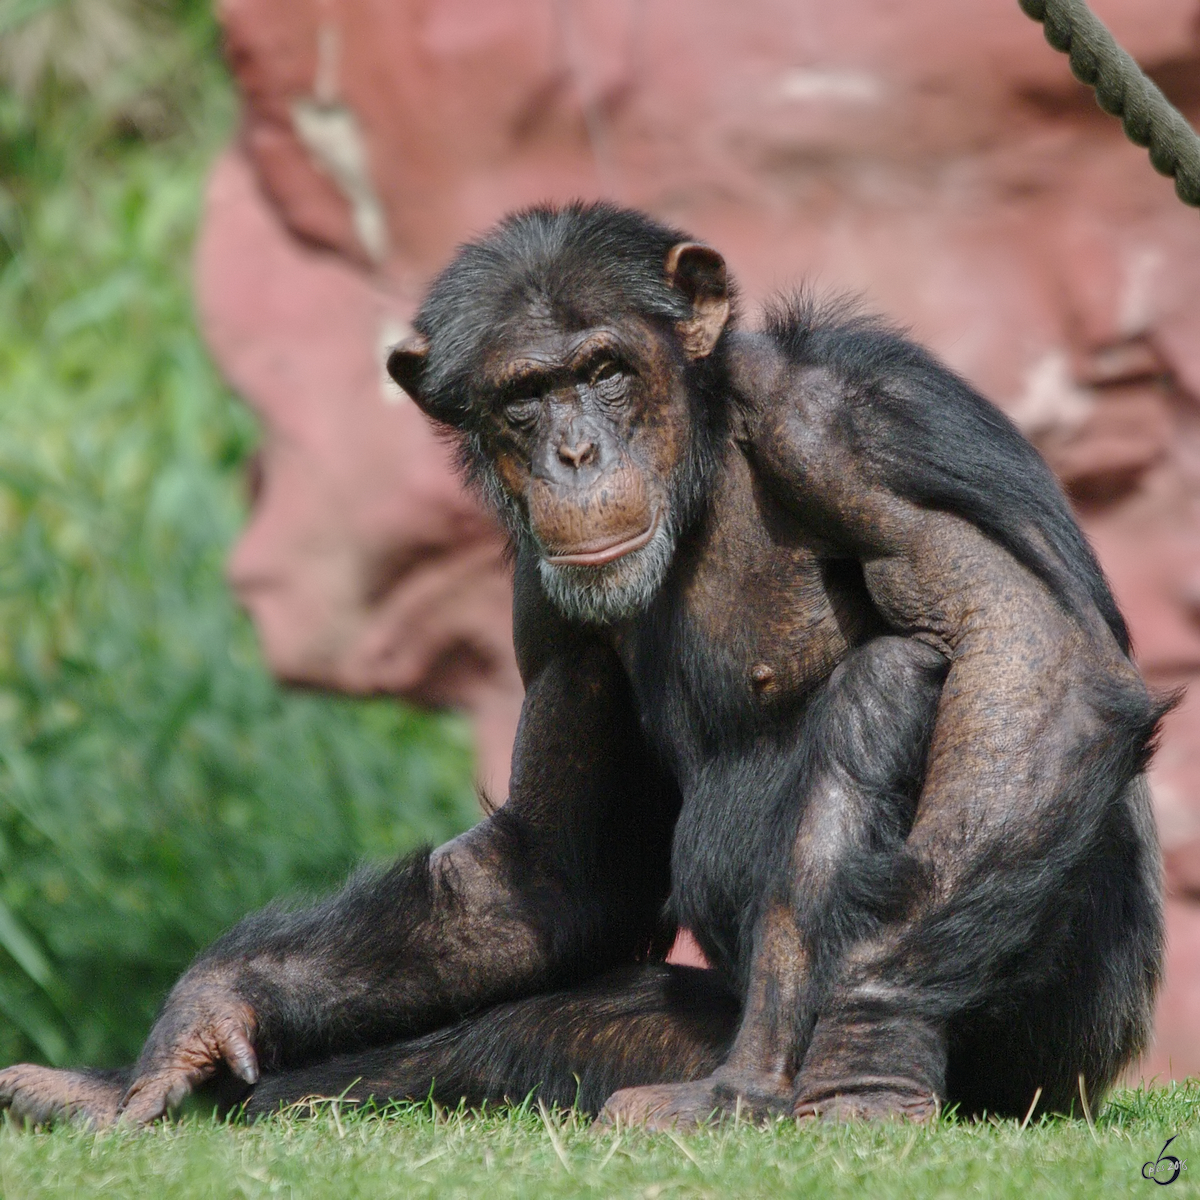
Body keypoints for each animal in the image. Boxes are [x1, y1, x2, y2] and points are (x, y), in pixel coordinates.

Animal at [0, 201, 1161, 1128]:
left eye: (605, 372)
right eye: (526, 394)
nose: (574, 455)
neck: (706, 456)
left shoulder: (859, 430)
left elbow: (1029, 654)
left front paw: (871, 1044)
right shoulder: (536, 594)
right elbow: (559, 866)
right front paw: (211, 1006)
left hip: (1053, 1043)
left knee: (902, 681)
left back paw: (767, 1081)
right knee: (512, 1038)